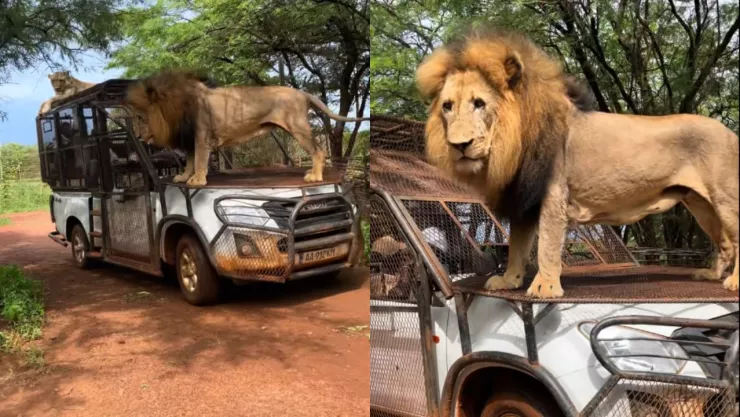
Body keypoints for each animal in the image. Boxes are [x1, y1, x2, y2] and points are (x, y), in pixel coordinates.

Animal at [124, 70, 369, 186]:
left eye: (140, 117)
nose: (136, 134)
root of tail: (302, 93)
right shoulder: (191, 138)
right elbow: (190, 161)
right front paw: (184, 177)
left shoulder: (202, 136)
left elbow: (200, 160)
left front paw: (197, 180)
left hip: (297, 127)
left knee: (318, 150)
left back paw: (315, 176)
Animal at [416, 28, 739, 298]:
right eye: (447, 106)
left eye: (479, 103)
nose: (459, 145)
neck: (515, 140)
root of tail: (729, 132)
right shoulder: (524, 200)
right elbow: (517, 247)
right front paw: (509, 281)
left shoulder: (552, 196)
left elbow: (546, 245)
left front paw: (545, 287)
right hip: (700, 203)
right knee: (724, 243)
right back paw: (710, 275)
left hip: (725, 199)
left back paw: (733, 282)